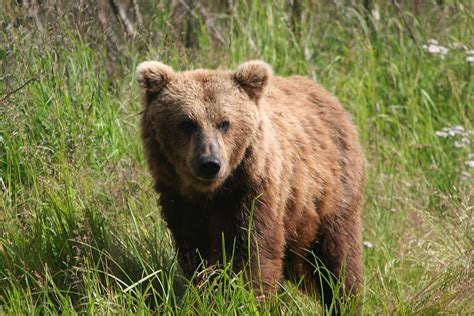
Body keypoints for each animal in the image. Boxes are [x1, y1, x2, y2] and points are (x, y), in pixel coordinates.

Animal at [135, 60, 364, 310]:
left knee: (338, 256)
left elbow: (253, 252)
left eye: (224, 123)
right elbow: (196, 254)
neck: (213, 193)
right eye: (187, 123)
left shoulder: (253, 192)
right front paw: (206, 296)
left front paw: (248, 299)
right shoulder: (180, 200)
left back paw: (346, 300)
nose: (209, 163)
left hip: (329, 195)